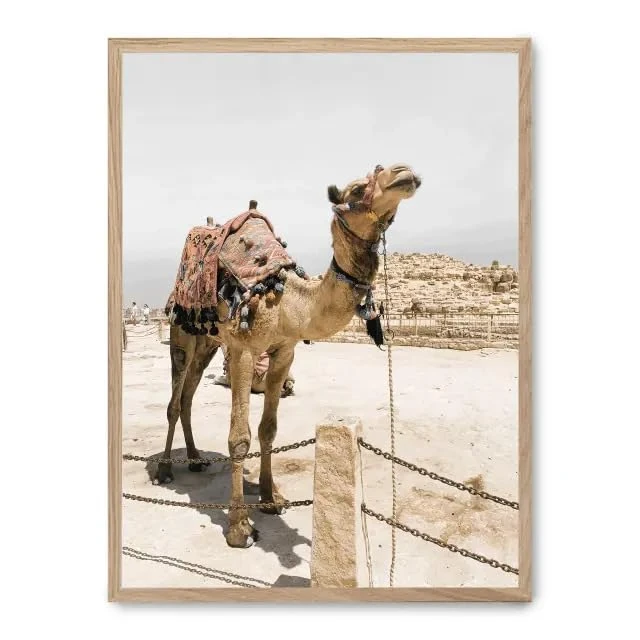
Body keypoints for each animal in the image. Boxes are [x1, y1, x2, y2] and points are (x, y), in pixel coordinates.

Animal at [159, 163, 421, 547]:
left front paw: (271, 498)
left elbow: (269, 429)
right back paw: (164, 469)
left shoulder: (284, 352)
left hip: (208, 341)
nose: (404, 174)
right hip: (182, 332)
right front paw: (239, 527)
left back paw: (194, 459)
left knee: (190, 394)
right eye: (357, 190)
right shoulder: (244, 349)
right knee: (175, 400)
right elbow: (239, 437)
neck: (286, 300)